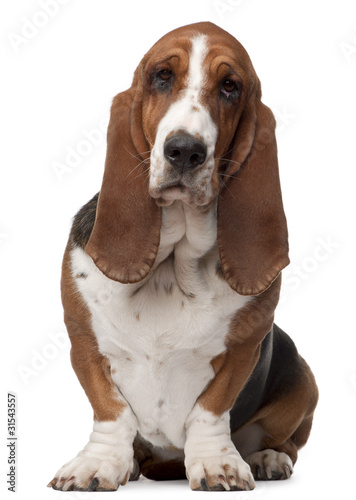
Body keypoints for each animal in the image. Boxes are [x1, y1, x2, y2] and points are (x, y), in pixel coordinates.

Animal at [48, 21, 318, 490]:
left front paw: (216, 465)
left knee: (286, 442)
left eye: (230, 86)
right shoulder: (83, 340)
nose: (185, 151)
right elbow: (111, 413)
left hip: (304, 381)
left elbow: (210, 411)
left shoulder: (243, 347)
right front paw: (97, 465)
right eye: (162, 76)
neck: (173, 263)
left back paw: (266, 457)